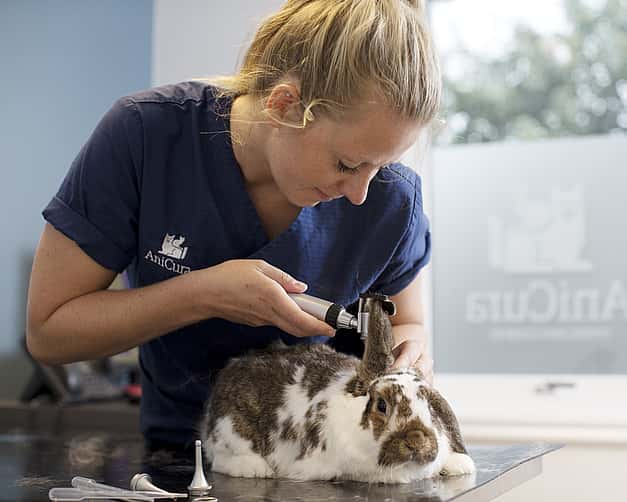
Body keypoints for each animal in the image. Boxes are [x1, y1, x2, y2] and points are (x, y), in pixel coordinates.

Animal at [201, 292, 476, 484]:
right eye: (382, 405)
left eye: (430, 407)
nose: (417, 441)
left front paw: (458, 464)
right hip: (229, 431)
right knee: (219, 458)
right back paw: (254, 468)